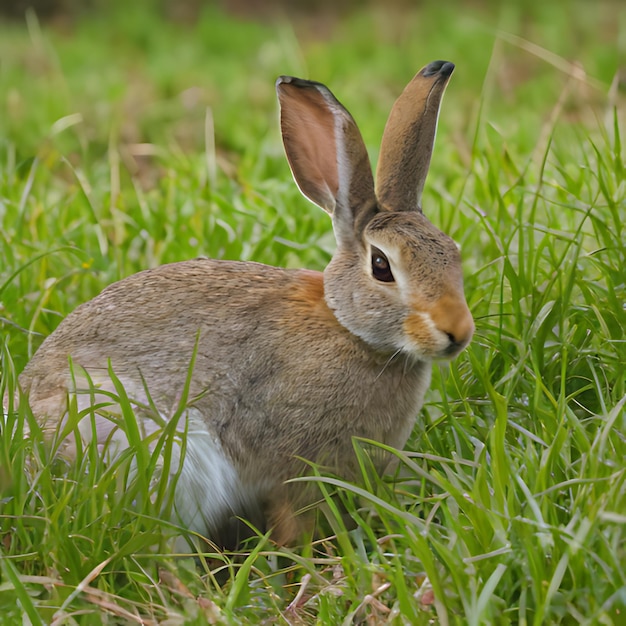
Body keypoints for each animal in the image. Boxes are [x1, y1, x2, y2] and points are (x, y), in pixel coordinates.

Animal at [17, 59, 470, 544]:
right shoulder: (293, 466)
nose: (458, 332)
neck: (351, 331)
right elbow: (295, 523)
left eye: (453, 252)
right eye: (382, 266)